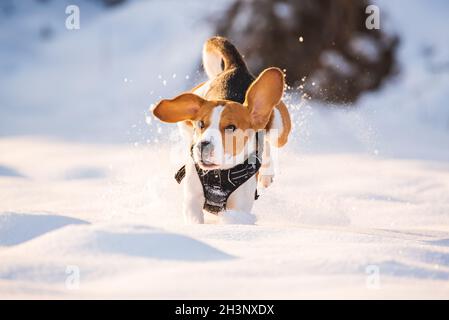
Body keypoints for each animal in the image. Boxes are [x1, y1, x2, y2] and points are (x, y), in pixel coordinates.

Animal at [152, 37, 290, 222]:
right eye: (201, 124)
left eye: (231, 127)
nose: (202, 145)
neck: (219, 174)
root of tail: (236, 68)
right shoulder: (192, 200)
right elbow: (195, 218)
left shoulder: (238, 210)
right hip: (186, 121)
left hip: (280, 129)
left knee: (267, 140)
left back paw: (267, 173)